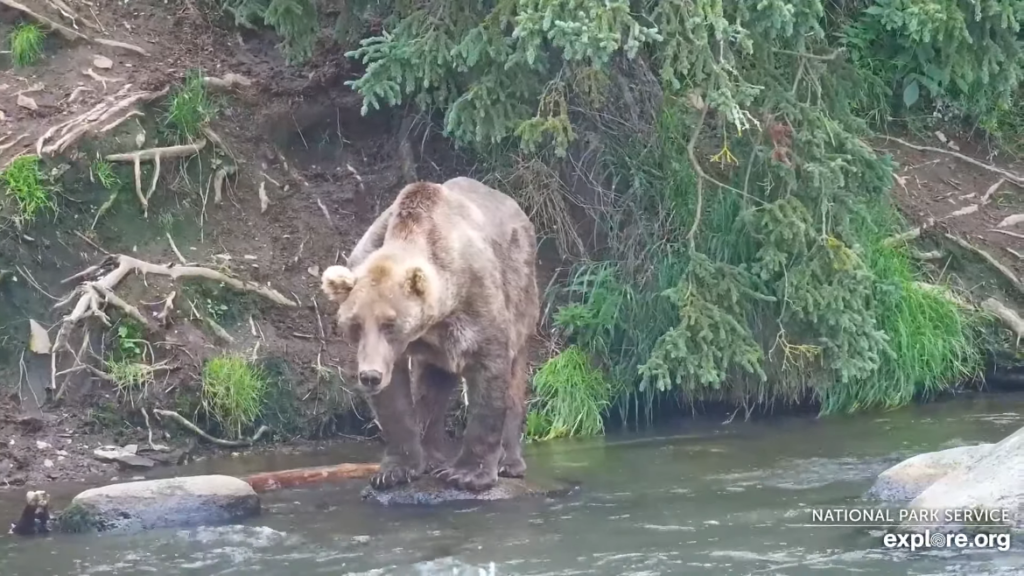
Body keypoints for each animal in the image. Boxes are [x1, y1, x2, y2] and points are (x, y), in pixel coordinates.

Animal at [321, 175, 540, 487]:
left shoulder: (477, 299)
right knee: (432, 387)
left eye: (390, 323)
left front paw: (467, 473)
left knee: (514, 376)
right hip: (440, 351)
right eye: (354, 324)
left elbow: (490, 371)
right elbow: (395, 396)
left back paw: (509, 463)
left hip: (522, 290)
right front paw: (395, 470)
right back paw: (434, 457)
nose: (370, 376)